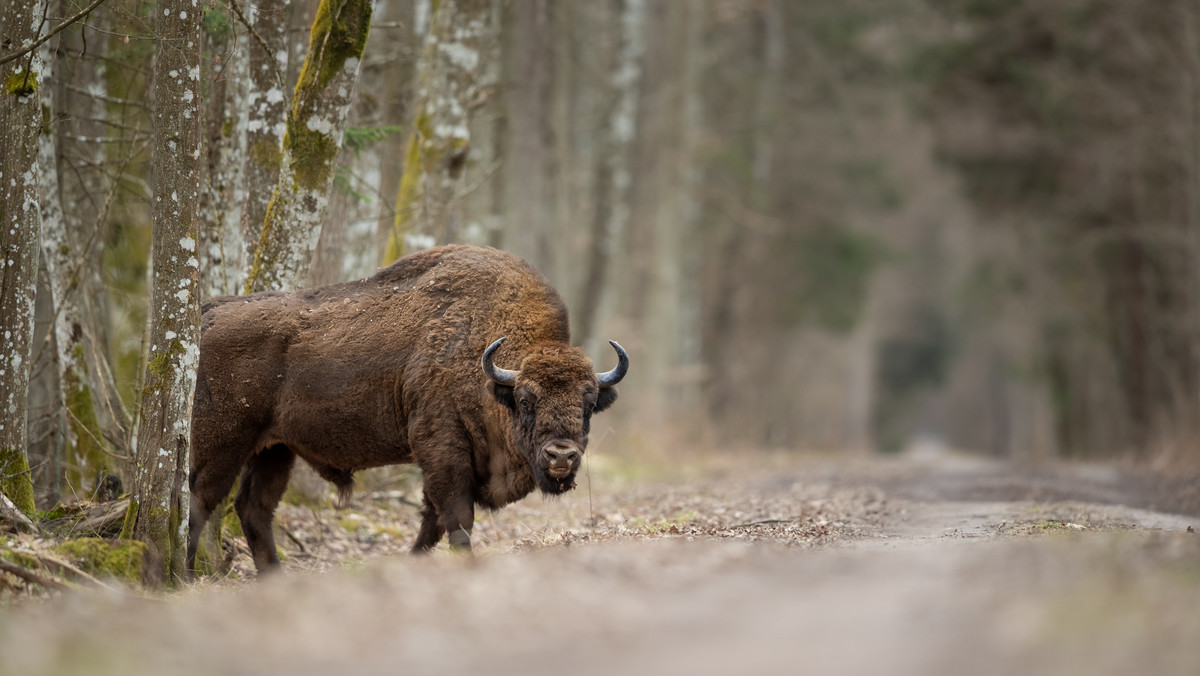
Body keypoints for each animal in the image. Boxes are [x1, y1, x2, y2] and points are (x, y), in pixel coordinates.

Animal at [187, 246, 628, 573]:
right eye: (525, 400)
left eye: (589, 404)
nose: (561, 456)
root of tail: (207, 315)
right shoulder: (442, 449)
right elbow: (455, 518)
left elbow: (431, 522)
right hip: (222, 442)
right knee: (199, 501)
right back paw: (184, 575)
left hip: (275, 449)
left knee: (254, 508)